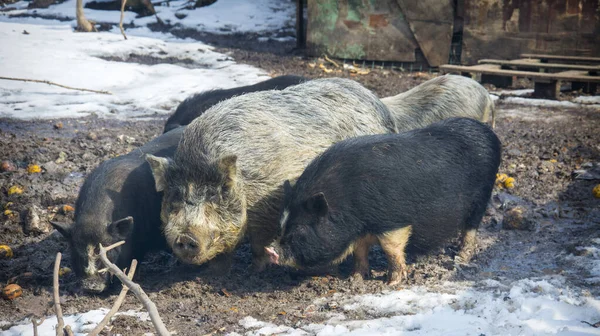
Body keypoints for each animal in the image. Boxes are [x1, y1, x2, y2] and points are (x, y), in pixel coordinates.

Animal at [266, 117, 502, 284]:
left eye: (300, 229)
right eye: (281, 225)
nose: (271, 250)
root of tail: (488, 133)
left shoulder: (394, 222)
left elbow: (392, 249)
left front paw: (392, 282)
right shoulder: (360, 231)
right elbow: (360, 251)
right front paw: (356, 278)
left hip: (482, 196)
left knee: (471, 227)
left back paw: (462, 256)